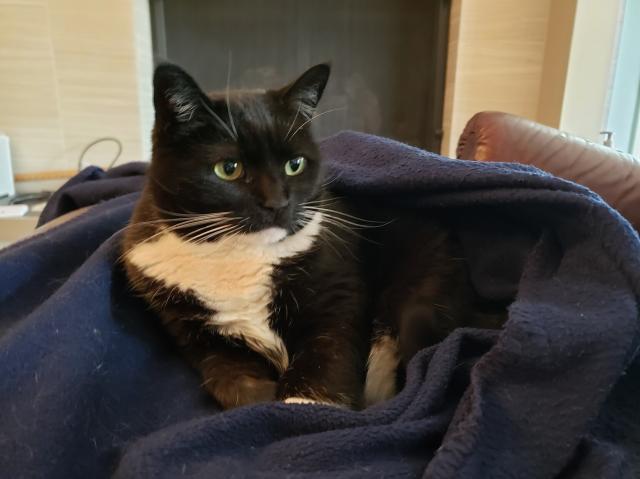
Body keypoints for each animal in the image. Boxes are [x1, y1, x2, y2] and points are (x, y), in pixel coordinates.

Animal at [121, 62, 504, 410]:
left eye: (295, 164)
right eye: (228, 169)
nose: (277, 203)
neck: (239, 254)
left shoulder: (337, 286)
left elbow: (327, 357)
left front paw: (304, 409)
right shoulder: (192, 331)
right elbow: (231, 380)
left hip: (424, 294)